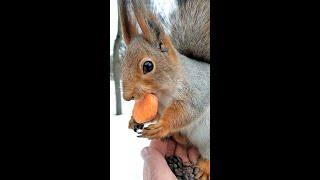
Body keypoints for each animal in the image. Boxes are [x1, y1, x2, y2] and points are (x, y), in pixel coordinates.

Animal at [119, 0, 211, 179]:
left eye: (148, 66)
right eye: (123, 63)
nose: (127, 97)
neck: (162, 95)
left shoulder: (196, 92)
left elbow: (186, 111)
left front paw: (162, 127)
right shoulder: (159, 107)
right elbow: (154, 114)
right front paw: (134, 120)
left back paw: (203, 169)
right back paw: (177, 136)